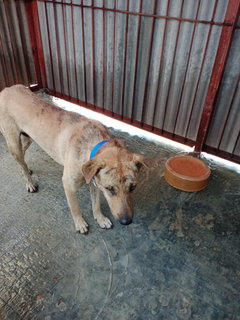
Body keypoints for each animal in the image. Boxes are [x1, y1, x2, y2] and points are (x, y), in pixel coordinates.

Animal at [0, 84, 153, 235]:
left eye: (133, 187)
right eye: (110, 189)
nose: (126, 221)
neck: (93, 144)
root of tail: (6, 89)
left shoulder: (95, 181)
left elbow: (96, 204)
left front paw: (100, 218)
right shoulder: (69, 184)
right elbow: (75, 208)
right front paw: (80, 223)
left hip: (28, 139)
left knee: (23, 158)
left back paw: (28, 168)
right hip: (14, 144)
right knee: (19, 159)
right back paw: (29, 183)